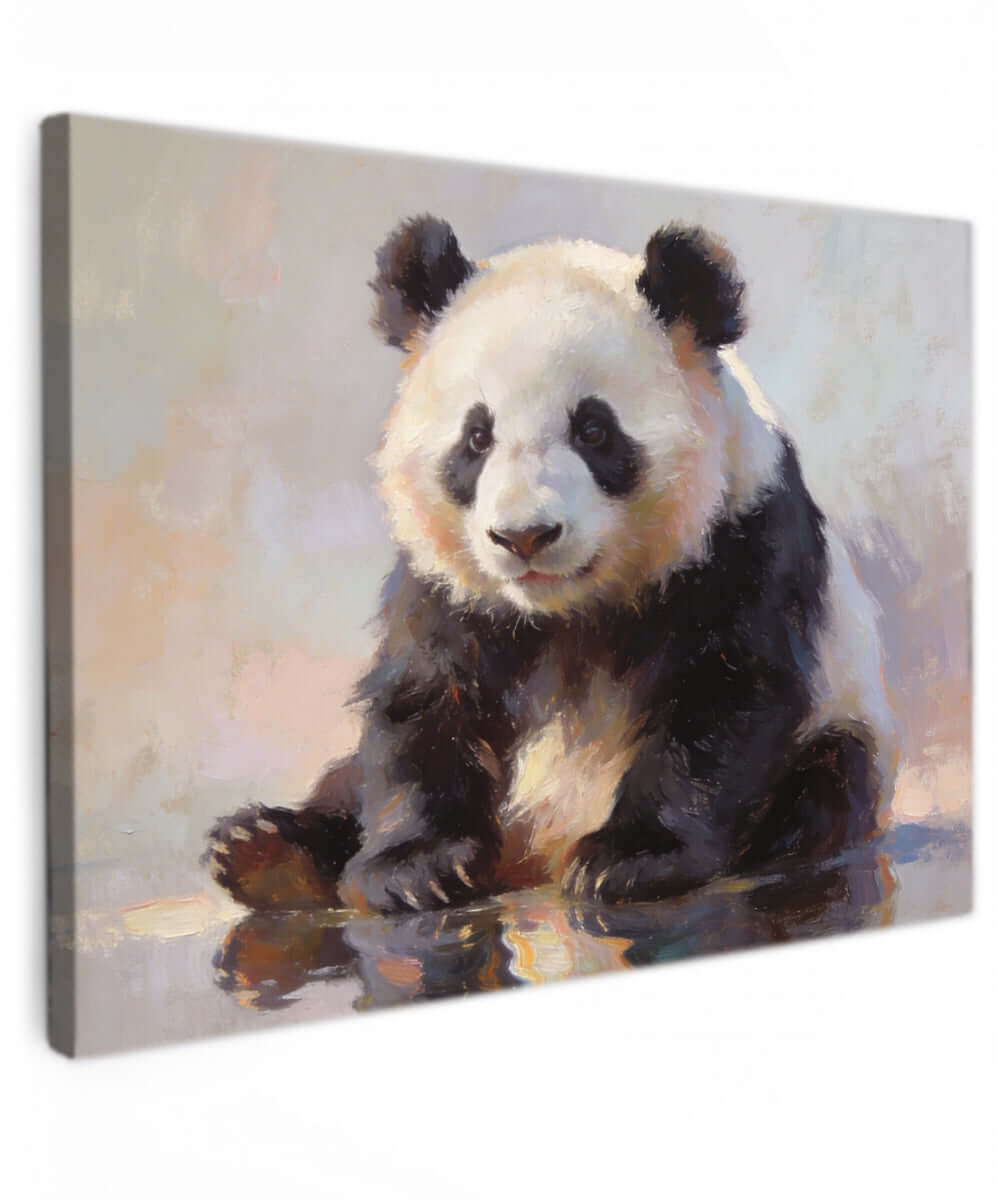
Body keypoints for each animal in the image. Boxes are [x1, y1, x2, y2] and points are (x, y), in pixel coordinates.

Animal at [206, 215, 897, 915]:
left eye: (594, 430)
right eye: (476, 437)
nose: (525, 536)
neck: (565, 612)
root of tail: (529, 860)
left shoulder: (743, 542)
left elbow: (722, 696)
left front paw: (631, 859)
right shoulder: (445, 587)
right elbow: (424, 704)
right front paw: (414, 867)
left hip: (843, 724)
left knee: (829, 780)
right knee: (345, 780)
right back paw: (266, 853)